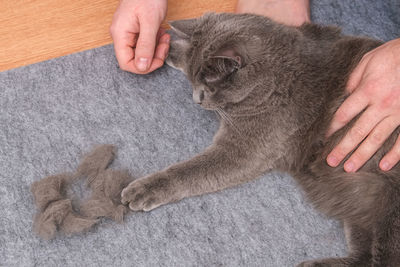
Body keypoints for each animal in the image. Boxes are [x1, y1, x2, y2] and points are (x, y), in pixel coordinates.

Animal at [121, 13, 400, 267]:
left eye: (209, 88)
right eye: (192, 82)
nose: (196, 100)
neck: (279, 78)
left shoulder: (245, 149)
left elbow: (190, 171)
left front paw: (144, 189)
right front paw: (167, 46)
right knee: (365, 256)